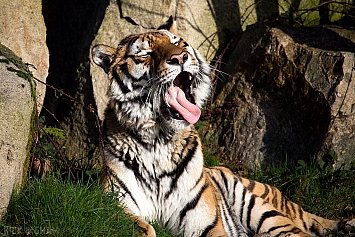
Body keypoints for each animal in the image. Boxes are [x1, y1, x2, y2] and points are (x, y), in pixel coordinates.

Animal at [92, 15, 355, 236]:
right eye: (145, 53)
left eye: (179, 44)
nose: (180, 58)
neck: (159, 140)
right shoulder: (114, 204)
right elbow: (142, 227)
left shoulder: (205, 222)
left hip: (257, 206)